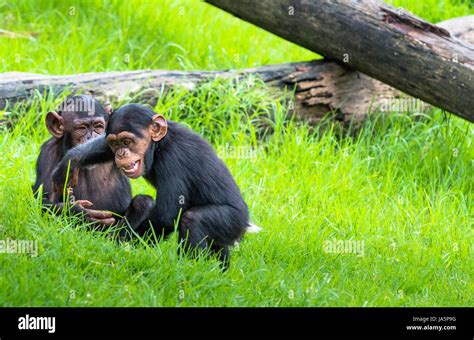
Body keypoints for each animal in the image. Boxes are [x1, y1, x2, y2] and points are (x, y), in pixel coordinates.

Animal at [33, 95, 154, 228]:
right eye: (82, 128)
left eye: (98, 126)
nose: (92, 138)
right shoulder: (47, 153)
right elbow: (44, 200)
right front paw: (81, 212)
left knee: (143, 202)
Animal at [51, 103, 250, 268]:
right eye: (114, 143)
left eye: (127, 142)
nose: (121, 153)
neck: (160, 144)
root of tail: (245, 223)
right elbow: (102, 148)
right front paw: (70, 163)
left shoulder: (173, 160)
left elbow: (166, 215)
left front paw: (118, 244)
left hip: (232, 220)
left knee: (194, 219)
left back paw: (189, 268)